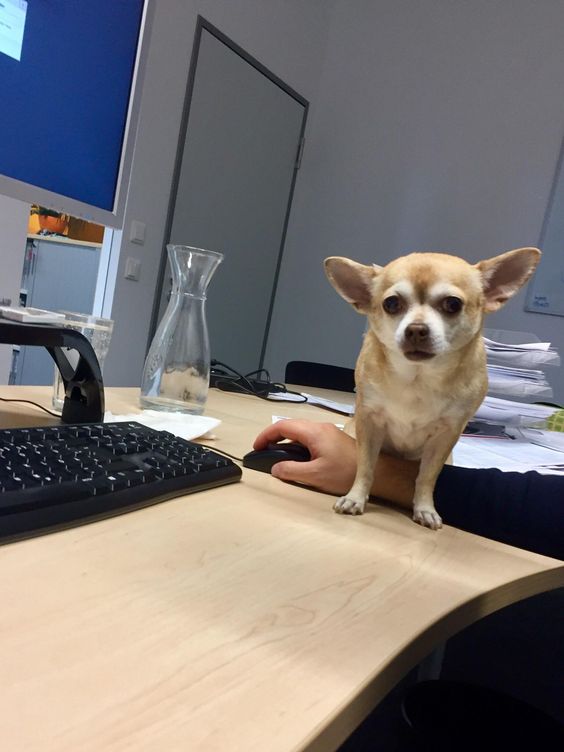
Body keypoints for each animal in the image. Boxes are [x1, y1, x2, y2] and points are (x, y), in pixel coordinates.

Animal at [324, 248, 540, 528]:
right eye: (391, 304)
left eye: (453, 304)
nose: (416, 329)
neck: (418, 378)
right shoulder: (369, 422)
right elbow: (366, 466)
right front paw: (355, 498)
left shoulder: (445, 436)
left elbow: (427, 476)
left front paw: (425, 508)